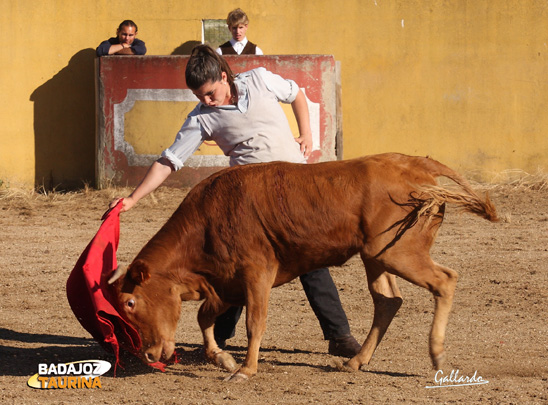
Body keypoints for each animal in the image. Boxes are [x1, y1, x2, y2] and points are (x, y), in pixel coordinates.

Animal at [107, 153, 496, 380]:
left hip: (399, 253)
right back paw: (356, 362)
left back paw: (436, 355)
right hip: (376, 257)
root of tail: (416, 164)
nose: (149, 354)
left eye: (130, 302)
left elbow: (253, 323)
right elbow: (205, 320)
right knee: (387, 300)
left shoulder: (255, 273)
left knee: (445, 280)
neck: (207, 221)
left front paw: (245, 370)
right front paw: (224, 360)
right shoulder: (225, 283)